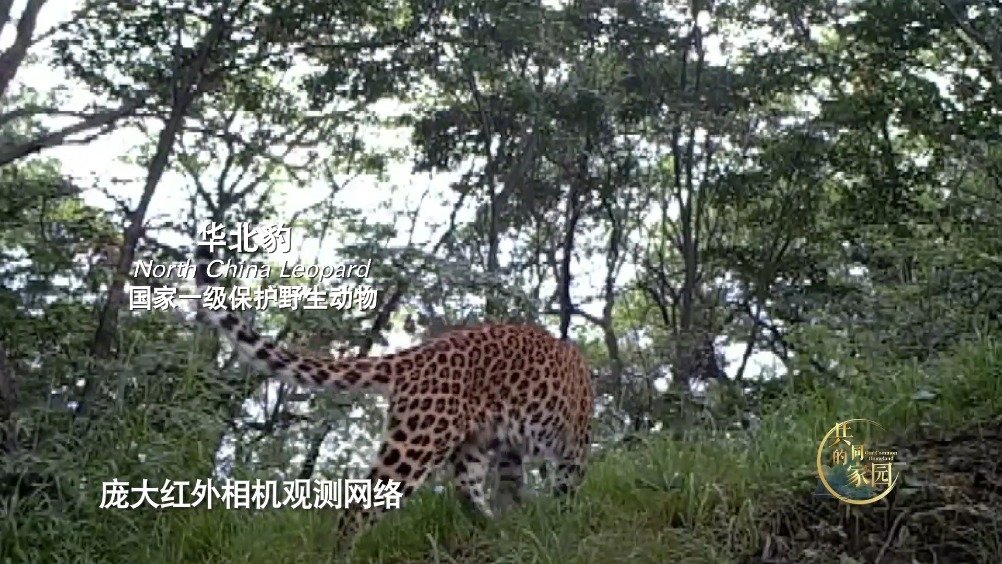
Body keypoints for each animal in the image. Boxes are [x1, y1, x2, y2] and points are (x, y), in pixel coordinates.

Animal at [190, 296, 595, 543]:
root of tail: (415, 355)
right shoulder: (574, 445)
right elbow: (566, 491)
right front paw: (563, 525)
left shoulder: (511, 450)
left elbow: (513, 490)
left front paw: (520, 525)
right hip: (416, 444)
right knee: (356, 509)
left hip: (469, 447)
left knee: (468, 493)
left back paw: (490, 527)